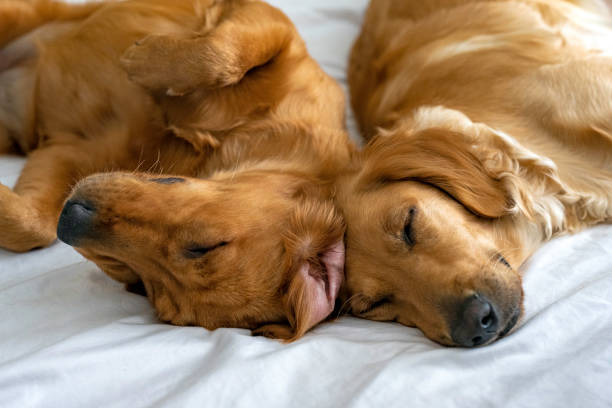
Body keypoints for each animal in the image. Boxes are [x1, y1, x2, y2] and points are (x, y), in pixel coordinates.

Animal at [0, 0, 352, 342]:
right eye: (203, 247)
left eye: (146, 288)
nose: (70, 218)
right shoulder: (278, 29)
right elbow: (222, 52)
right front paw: (142, 62)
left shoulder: (68, 147)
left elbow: (34, 226)